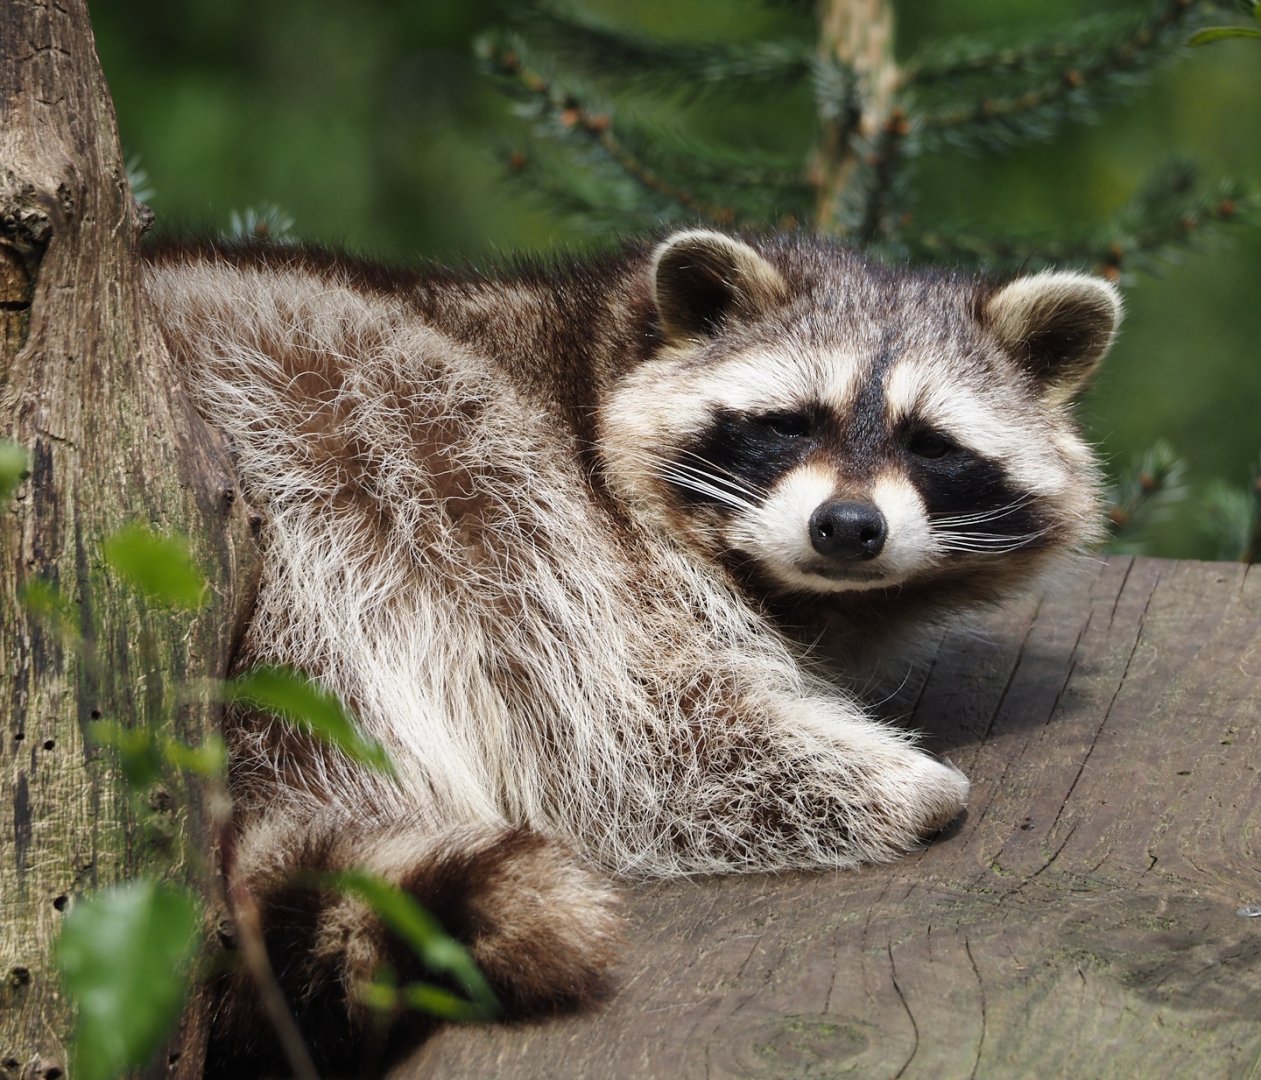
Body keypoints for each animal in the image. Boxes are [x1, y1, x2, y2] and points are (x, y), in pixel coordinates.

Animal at [144, 228, 1120, 1072]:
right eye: (790, 423)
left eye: (930, 444)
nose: (847, 527)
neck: (597, 350)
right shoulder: (549, 540)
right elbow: (642, 750)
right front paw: (907, 782)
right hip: (320, 461)